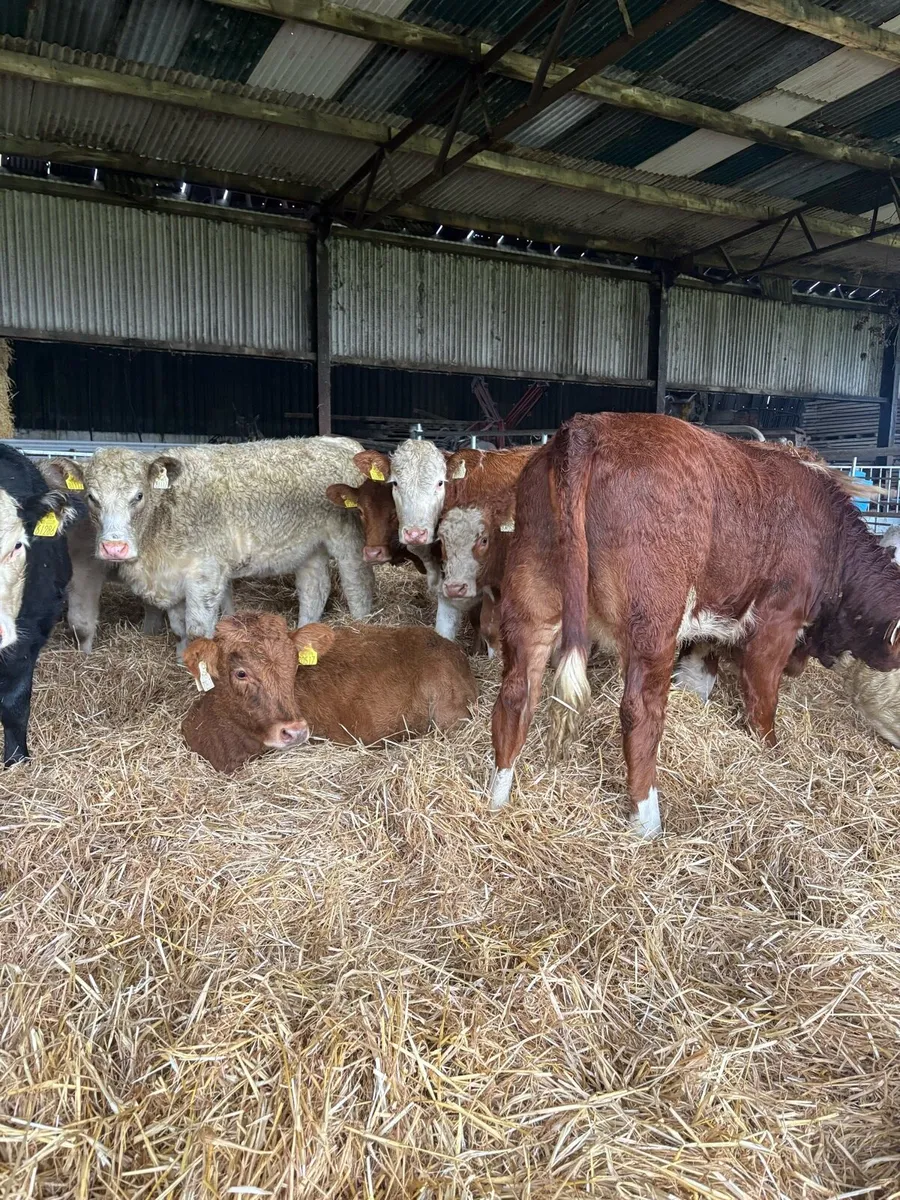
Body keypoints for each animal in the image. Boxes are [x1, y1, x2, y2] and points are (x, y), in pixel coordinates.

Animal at [53, 437, 374, 655]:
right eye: (92, 497)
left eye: (139, 495)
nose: (114, 548)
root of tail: (339, 441)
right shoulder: (173, 575)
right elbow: (179, 628)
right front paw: (181, 660)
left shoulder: (205, 574)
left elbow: (198, 630)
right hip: (309, 547)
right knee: (314, 590)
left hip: (348, 538)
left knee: (357, 586)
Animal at [488, 412, 900, 836]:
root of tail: (587, 427)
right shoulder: (778, 621)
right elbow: (762, 698)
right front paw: (772, 753)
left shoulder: (714, 621)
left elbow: (699, 677)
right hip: (653, 619)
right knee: (640, 712)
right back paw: (647, 821)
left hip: (531, 594)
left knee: (516, 695)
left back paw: (496, 800)